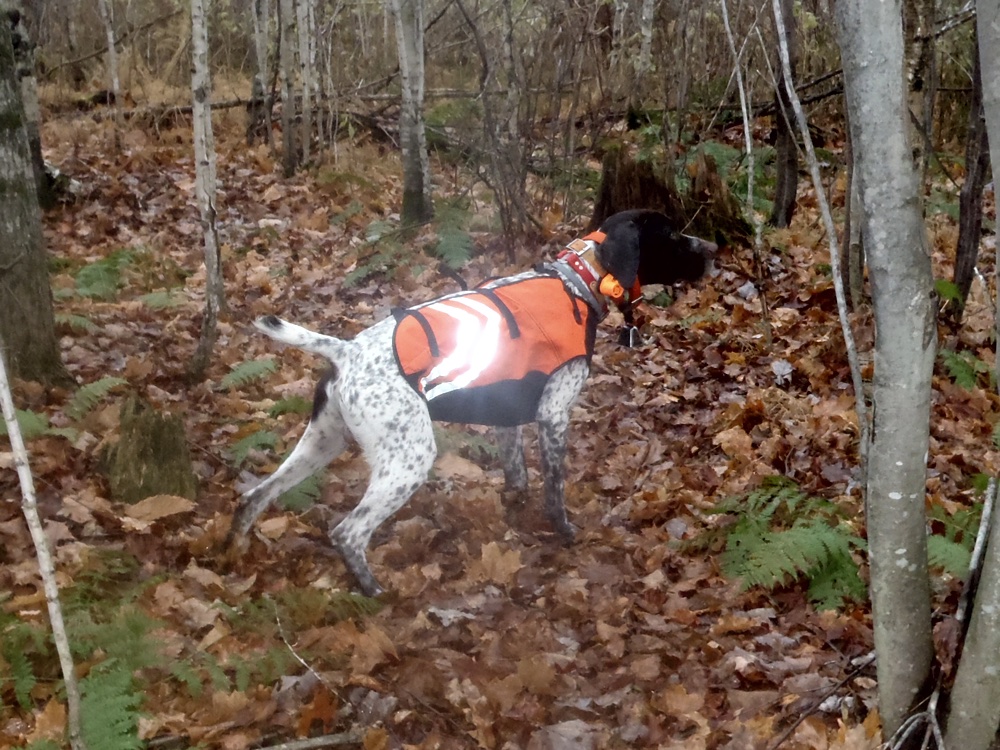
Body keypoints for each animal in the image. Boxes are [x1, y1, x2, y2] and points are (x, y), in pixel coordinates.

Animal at [226, 209, 716, 596]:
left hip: (323, 441)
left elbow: (517, 477)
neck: (576, 282)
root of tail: (345, 352)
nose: (714, 247)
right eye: (672, 234)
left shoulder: (507, 420)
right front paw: (564, 533)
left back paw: (236, 552)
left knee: (254, 495)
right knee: (348, 531)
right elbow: (554, 490)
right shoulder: (553, 415)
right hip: (408, 459)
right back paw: (373, 591)